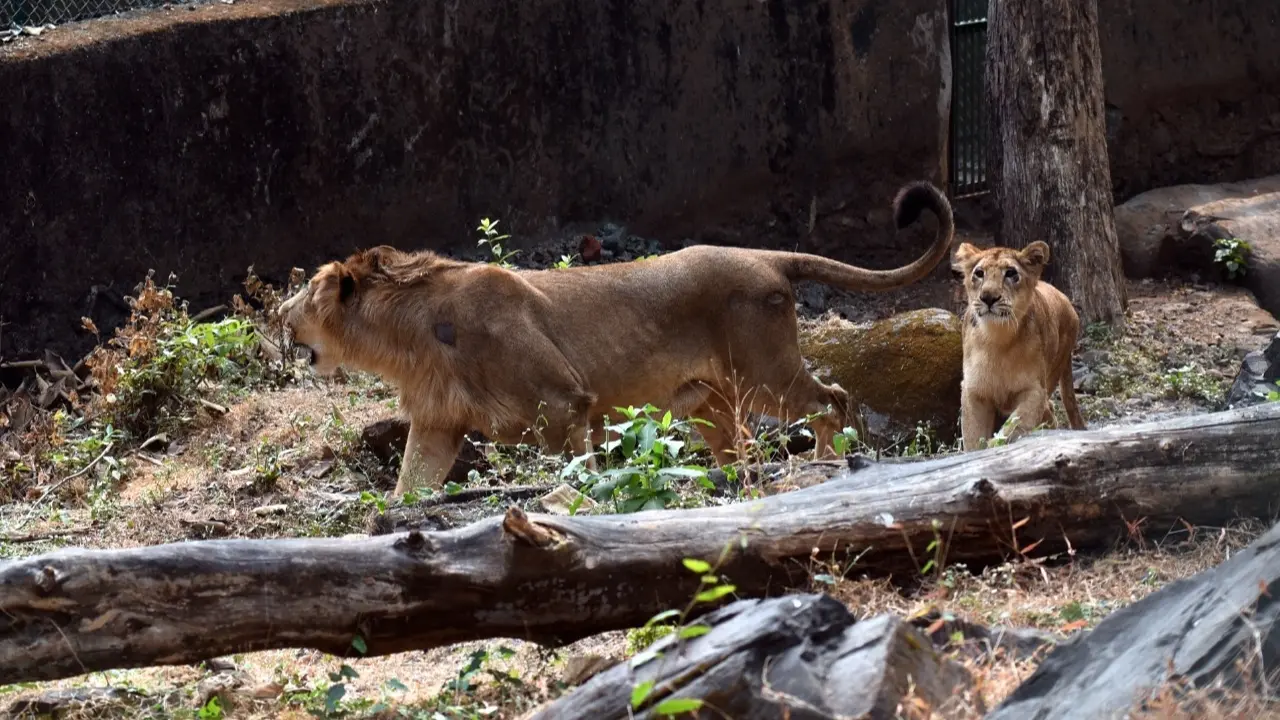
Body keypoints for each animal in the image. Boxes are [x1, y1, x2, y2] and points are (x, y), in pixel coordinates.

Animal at [278, 181, 955, 496]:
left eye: (308, 290)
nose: (280, 311)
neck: (409, 342)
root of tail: (766, 255)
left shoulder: (561, 403)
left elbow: (572, 474)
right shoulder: (438, 423)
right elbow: (407, 491)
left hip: (764, 373)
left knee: (832, 399)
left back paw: (827, 464)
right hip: (713, 402)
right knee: (741, 449)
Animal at [951, 239, 1086, 452]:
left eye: (1011, 273)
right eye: (979, 273)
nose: (988, 297)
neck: (997, 338)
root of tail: (1067, 301)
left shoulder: (1035, 391)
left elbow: (1012, 428)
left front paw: (995, 445)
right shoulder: (974, 391)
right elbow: (973, 439)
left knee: (1049, 412)